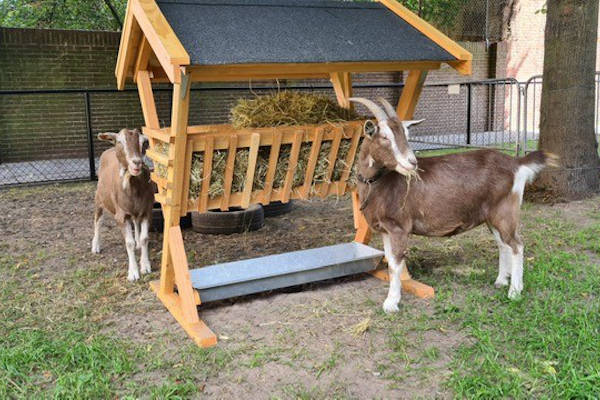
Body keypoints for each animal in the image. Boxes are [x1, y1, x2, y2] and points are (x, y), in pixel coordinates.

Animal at [91, 128, 154, 282]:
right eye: (120, 141)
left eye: (144, 142)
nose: (136, 162)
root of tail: (108, 150)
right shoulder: (121, 215)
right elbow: (128, 243)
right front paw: (133, 273)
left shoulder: (146, 211)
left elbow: (144, 238)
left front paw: (145, 266)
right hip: (99, 198)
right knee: (97, 220)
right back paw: (95, 245)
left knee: (135, 222)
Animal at [352, 97, 556, 312]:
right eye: (384, 136)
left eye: (406, 134)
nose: (412, 163)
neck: (379, 182)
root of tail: (516, 164)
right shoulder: (385, 229)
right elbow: (390, 262)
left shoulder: (399, 227)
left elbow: (396, 265)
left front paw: (391, 303)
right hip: (492, 216)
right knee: (503, 244)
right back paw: (501, 281)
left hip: (505, 211)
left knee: (517, 245)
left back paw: (515, 292)